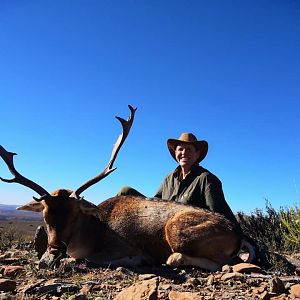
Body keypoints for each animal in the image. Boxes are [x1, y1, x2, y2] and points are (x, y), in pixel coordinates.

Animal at [0, 105, 255, 272]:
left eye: (75, 215)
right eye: (44, 216)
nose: (49, 257)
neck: (93, 233)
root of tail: (240, 235)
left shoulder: (120, 246)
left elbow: (91, 259)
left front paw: (139, 260)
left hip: (176, 231)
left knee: (223, 263)